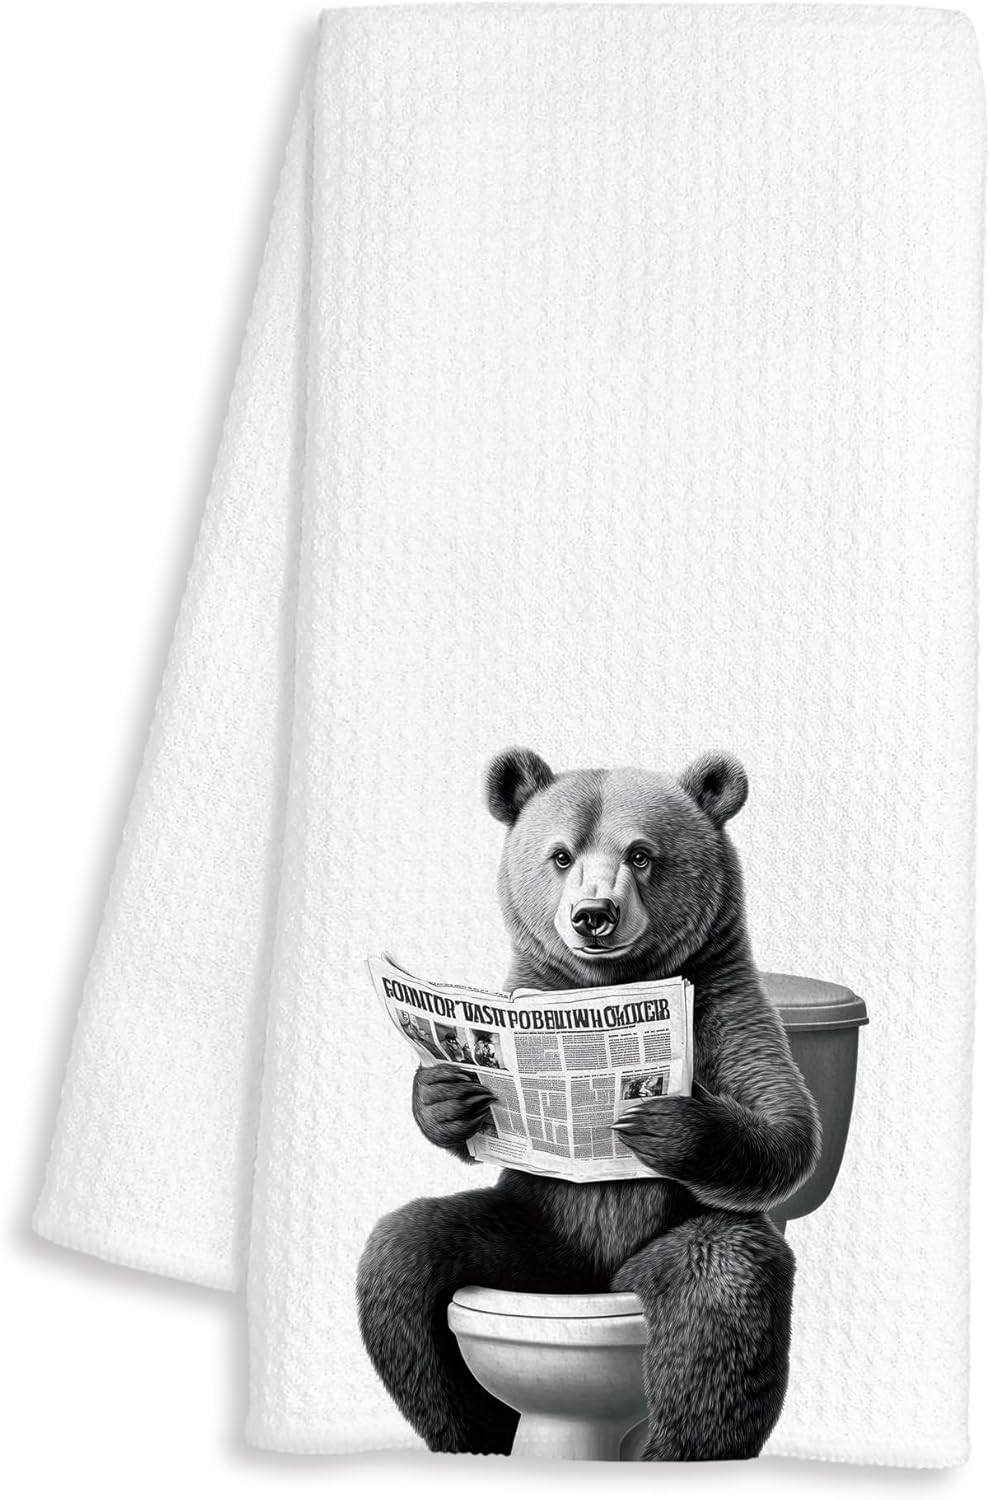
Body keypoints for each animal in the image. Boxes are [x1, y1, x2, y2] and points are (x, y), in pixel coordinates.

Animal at [357, 749, 821, 1461]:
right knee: (405, 1264)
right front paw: (445, 1093)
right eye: (560, 855)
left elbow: (785, 1123)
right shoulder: (523, 993)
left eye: (641, 854)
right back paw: (477, 1437)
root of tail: (592, 1280)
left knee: (720, 1295)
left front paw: (665, 1122)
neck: (612, 986)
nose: (592, 914)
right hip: (528, 1233)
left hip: (672, 1241)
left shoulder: (726, 1009)